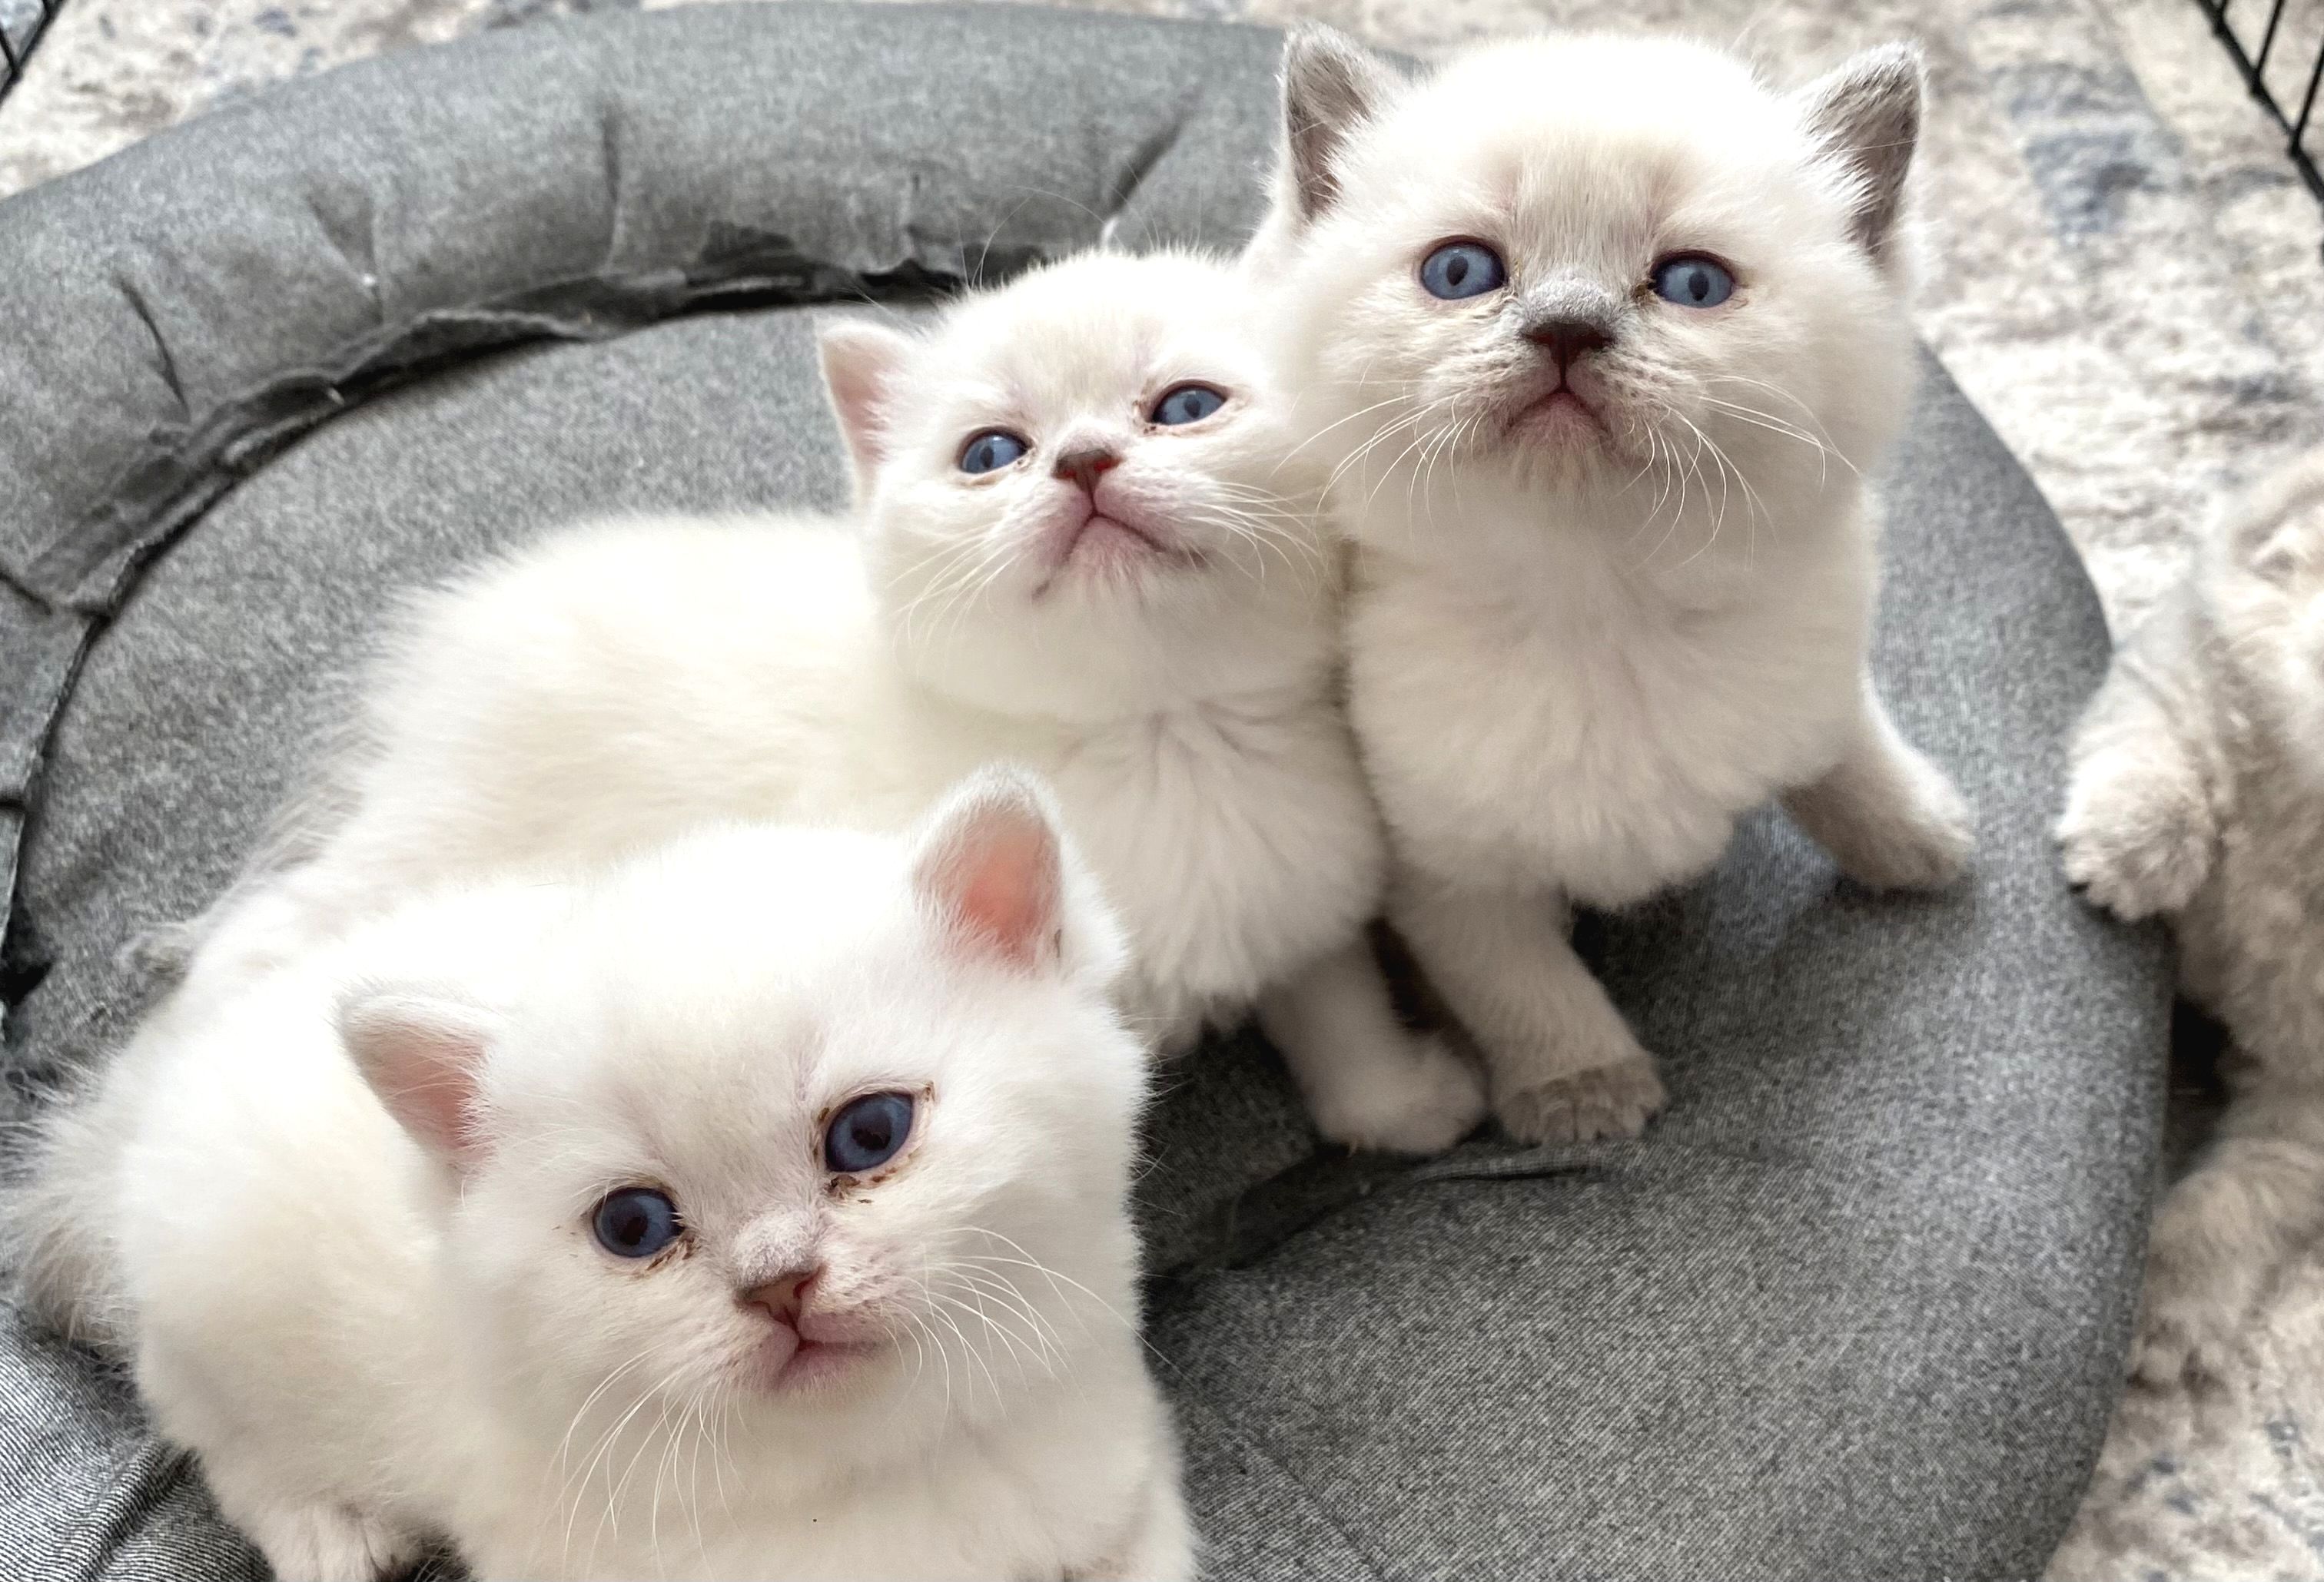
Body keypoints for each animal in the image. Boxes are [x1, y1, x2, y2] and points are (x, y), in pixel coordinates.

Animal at [10, 772, 1194, 1581]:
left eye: (870, 1133)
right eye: (633, 1225)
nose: (778, 1282)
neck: (881, 1464)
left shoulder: (1117, 1473)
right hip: (211, 1324)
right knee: (216, 1434)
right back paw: (328, 1529)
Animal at [180, 247, 1485, 1155]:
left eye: (1184, 405)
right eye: (991, 452)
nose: (1080, 463)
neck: (1156, 735)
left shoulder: (1291, 886)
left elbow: (1333, 994)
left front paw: (1399, 1099)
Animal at [1249, 28, 1975, 1143]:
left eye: (1693, 284)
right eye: (1461, 271)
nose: (1567, 326)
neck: (1602, 608)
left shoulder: (1811, 661)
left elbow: (1844, 746)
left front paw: (1915, 835)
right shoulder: (1443, 860)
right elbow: (1519, 979)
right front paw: (1581, 1088)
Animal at [2058, 447, 2324, 1386]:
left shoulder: (2309, 1095)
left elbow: (2245, 1194)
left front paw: (2168, 1298)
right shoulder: (2170, 670)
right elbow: (2164, 743)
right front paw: (2129, 849)